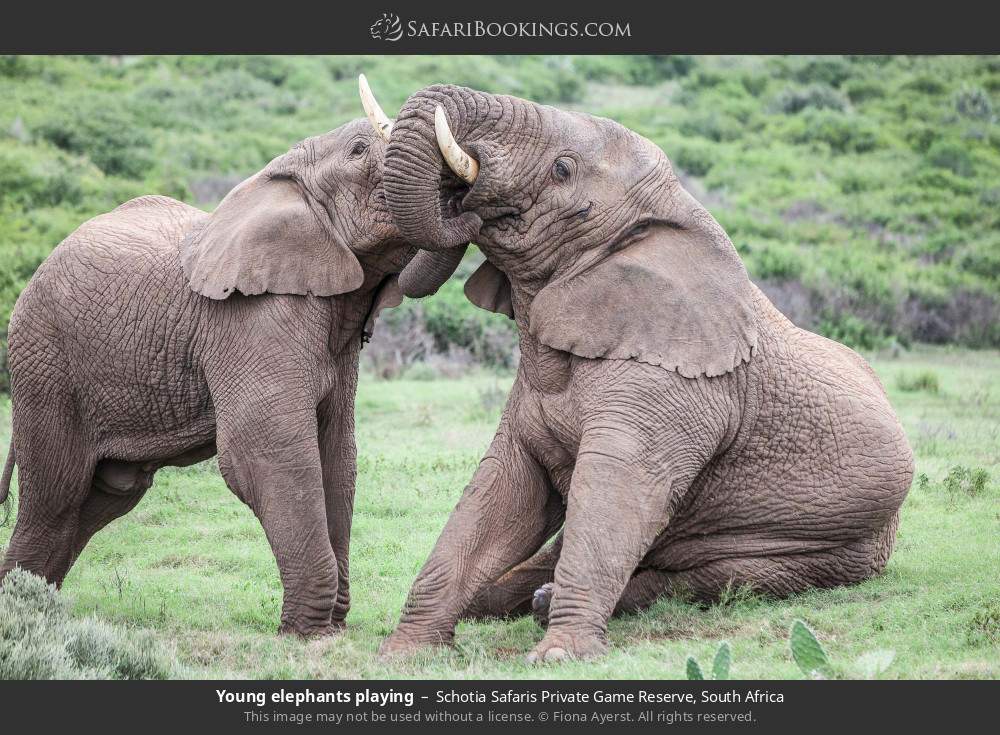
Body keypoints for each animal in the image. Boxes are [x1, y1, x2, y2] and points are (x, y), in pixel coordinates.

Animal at [0, 89, 442, 636]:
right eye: (360, 150)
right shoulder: (253, 317)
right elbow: (265, 449)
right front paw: (308, 636)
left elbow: (338, 455)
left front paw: (330, 629)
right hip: (45, 358)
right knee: (56, 494)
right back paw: (24, 613)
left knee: (98, 498)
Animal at [375, 84, 915, 662]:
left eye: (562, 169)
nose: (462, 200)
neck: (668, 215)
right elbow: (506, 491)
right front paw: (404, 654)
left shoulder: (678, 384)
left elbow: (620, 487)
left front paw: (559, 657)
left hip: (835, 551)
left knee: (719, 579)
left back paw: (547, 602)